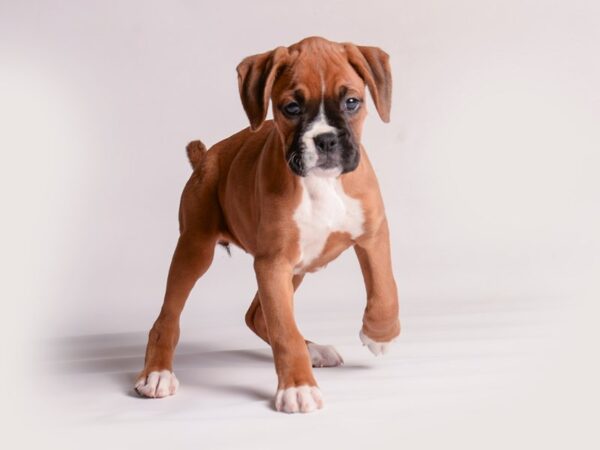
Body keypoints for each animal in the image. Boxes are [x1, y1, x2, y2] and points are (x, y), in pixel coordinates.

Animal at [134, 36, 400, 414]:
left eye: (352, 102)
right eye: (292, 108)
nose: (326, 140)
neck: (321, 182)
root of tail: (206, 157)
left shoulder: (372, 232)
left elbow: (384, 286)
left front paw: (380, 334)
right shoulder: (272, 264)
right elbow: (284, 330)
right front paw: (298, 387)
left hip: (295, 269)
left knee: (257, 316)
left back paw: (314, 349)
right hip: (195, 249)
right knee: (168, 317)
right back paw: (157, 374)